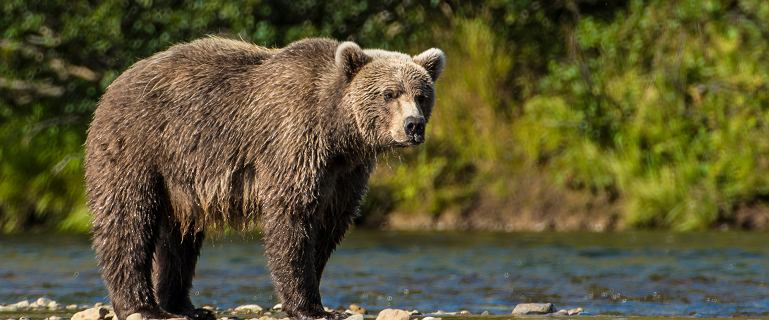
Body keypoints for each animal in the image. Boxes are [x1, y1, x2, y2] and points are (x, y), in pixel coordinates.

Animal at [84, 37, 444, 320]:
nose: (413, 125)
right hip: (141, 146)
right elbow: (292, 220)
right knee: (128, 220)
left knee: (180, 238)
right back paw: (142, 307)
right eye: (389, 93)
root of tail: (114, 84)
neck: (338, 132)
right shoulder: (294, 144)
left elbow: (329, 224)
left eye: (421, 95)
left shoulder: (345, 173)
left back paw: (185, 306)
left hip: (181, 179)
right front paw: (310, 307)